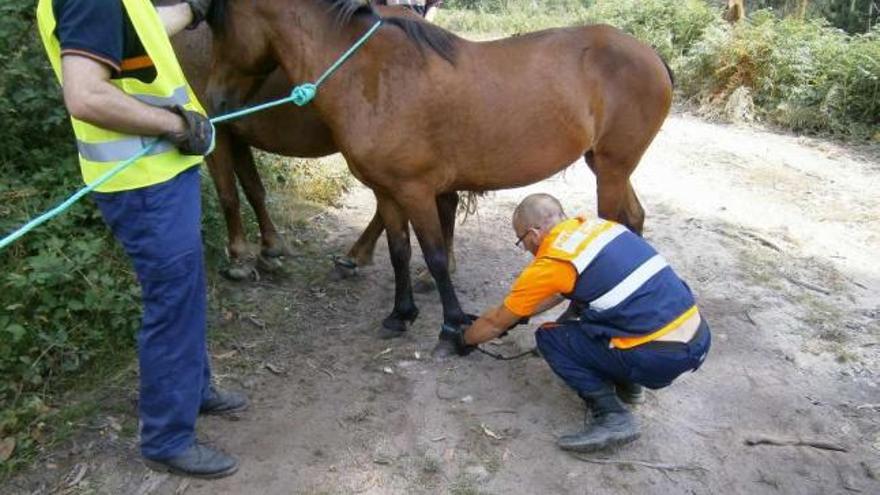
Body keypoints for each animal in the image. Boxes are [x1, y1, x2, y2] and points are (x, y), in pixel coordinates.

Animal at [205, 0, 672, 338]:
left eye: (217, 24)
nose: (213, 101)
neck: (374, 75)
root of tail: (650, 55)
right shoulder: (387, 192)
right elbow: (399, 252)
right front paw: (401, 314)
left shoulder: (416, 190)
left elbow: (434, 256)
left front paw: (451, 322)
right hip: (607, 165)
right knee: (633, 217)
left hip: (611, 168)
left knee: (613, 225)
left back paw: (577, 310)